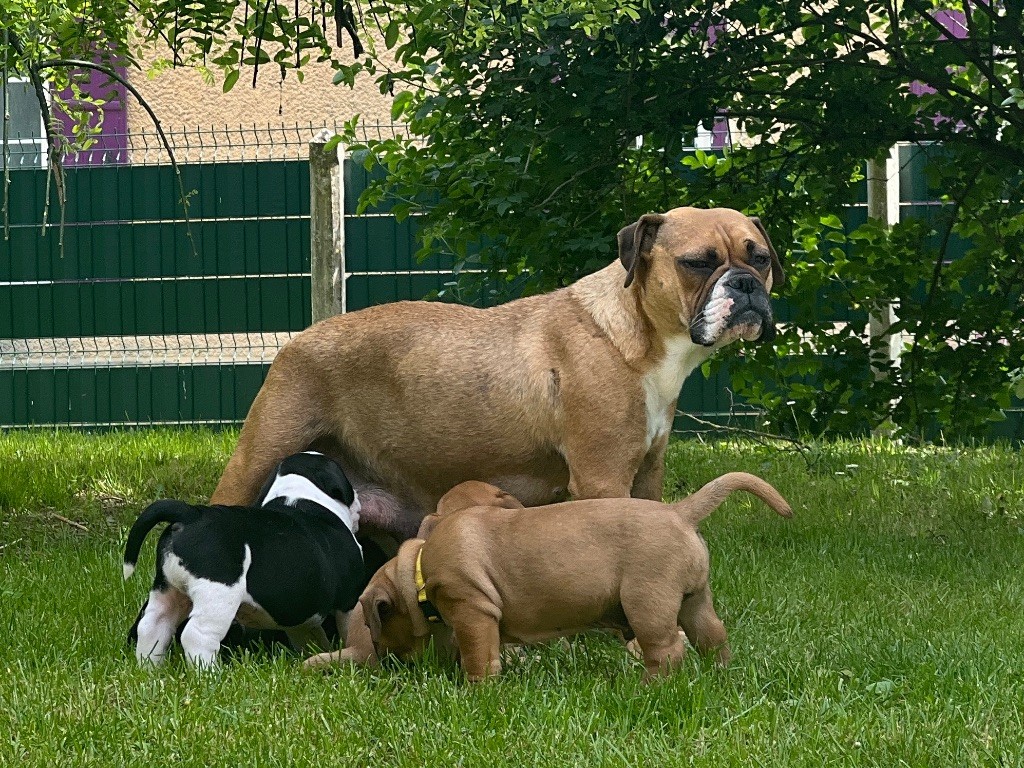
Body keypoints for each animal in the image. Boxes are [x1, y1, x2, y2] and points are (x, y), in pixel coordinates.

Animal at [124, 450, 366, 667]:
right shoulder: (349, 599)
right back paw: (208, 675)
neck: (297, 496)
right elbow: (350, 627)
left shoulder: (298, 616)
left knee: (151, 626)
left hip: (168, 588)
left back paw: (150, 670)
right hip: (218, 596)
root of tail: (191, 514)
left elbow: (307, 635)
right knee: (197, 635)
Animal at [209, 205, 782, 540]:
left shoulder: (646, 472)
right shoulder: (603, 476)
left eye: (761, 258)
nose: (746, 284)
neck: (641, 337)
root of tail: (297, 340)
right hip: (256, 458)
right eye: (698, 262)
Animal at [356, 475, 786, 684]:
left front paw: (476, 690)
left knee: (666, 652)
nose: (387, 663)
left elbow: (479, 657)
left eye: (378, 625)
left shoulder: (472, 611)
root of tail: (679, 512)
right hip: (695, 601)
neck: (419, 568)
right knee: (713, 638)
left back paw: (647, 690)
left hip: (647, 602)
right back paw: (722, 677)